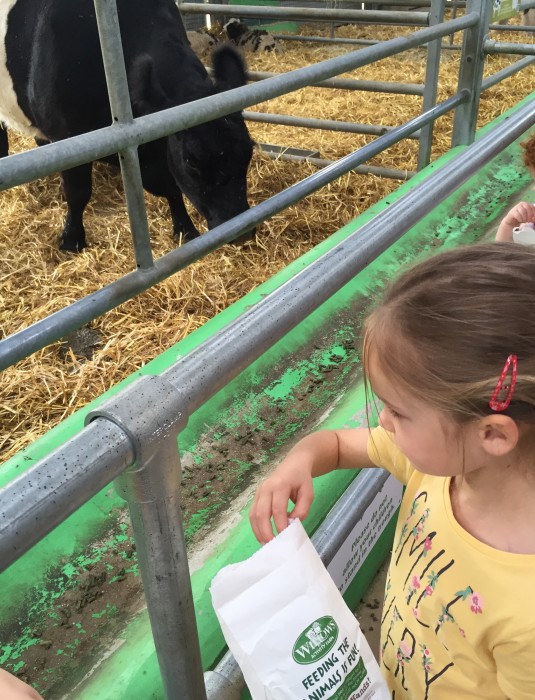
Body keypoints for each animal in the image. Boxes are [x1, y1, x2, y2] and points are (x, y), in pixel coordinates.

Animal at [0, 0, 255, 250]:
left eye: (249, 150)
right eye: (191, 161)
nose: (243, 233)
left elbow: (172, 187)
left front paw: (186, 229)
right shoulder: (68, 135)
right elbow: (78, 192)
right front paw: (72, 240)